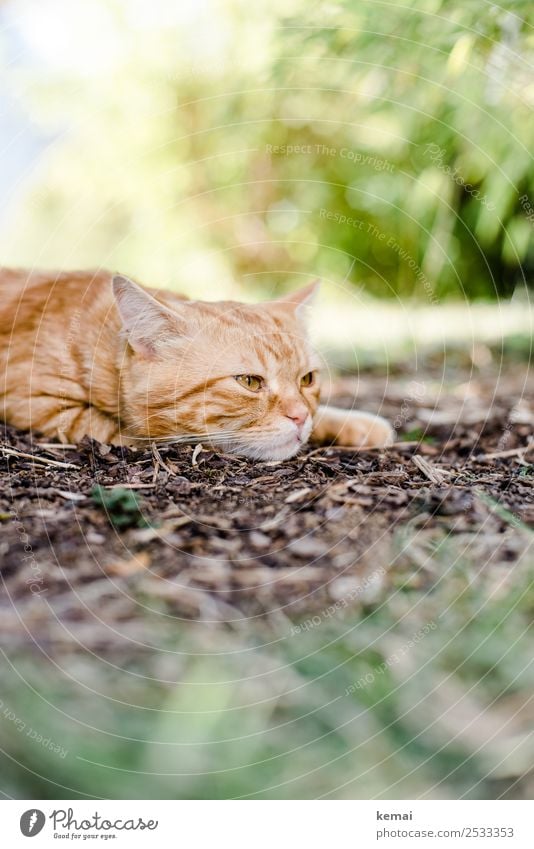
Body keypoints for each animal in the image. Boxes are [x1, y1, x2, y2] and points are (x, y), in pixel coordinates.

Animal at [0, 268, 394, 460]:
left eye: (307, 379)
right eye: (249, 382)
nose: (299, 417)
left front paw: (350, 422)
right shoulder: (42, 405)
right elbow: (125, 432)